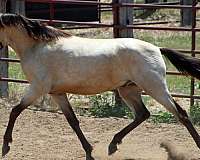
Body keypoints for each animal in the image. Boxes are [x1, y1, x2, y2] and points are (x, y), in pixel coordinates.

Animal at [0, 13, 200, 160]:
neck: (35, 47)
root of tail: (157, 49)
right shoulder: (57, 93)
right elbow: (73, 121)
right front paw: (89, 152)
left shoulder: (37, 88)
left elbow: (15, 111)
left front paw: (6, 146)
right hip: (128, 89)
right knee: (142, 114)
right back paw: (113, 145)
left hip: (154, 87)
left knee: (181, 114)